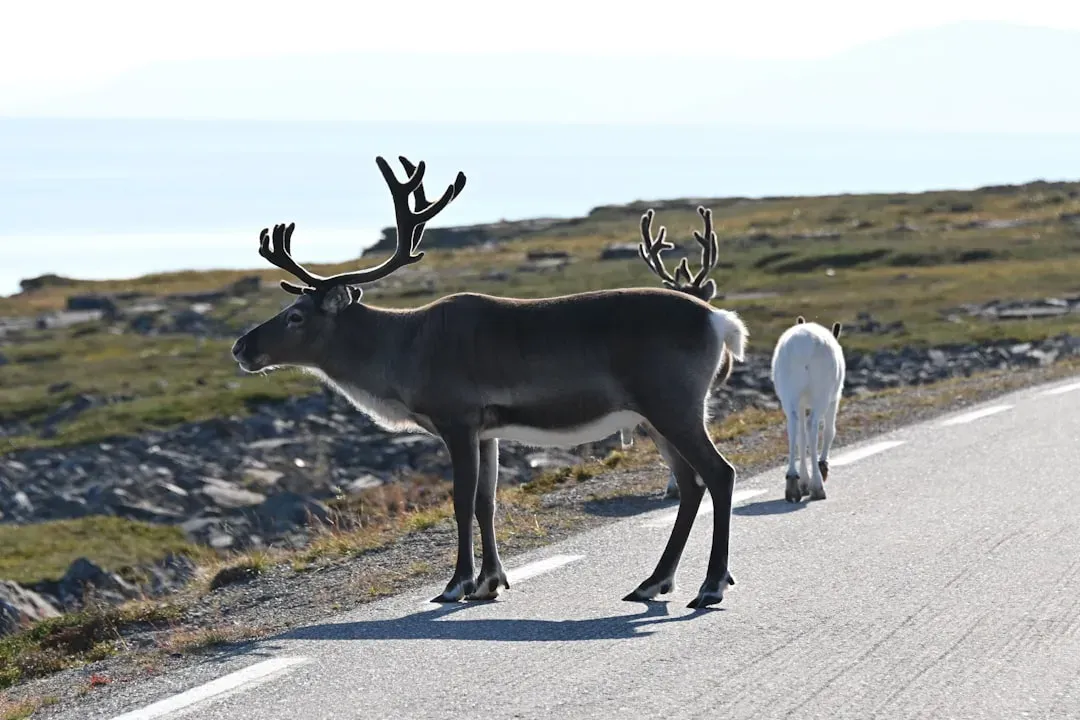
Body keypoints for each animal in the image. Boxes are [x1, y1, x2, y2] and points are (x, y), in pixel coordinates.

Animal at [231, 155, 749, 609]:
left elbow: (460, 502)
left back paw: (710, 586)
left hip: (673, 405)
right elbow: (486, 502)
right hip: (655, 417)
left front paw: (456, 584)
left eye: (296, 316)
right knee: (690, 484)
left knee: (719, 473)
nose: (241, 347)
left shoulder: (456, 419)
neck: (402, 352)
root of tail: (721, 321)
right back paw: (653, 582)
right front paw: (490, 581)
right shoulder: (487, 430)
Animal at [770, 315, 846, 503]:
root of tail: (802, 347)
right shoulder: (835, 397)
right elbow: (829, 431)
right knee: (813, 426)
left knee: (793, 427)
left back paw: (792, 483)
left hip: (789, 394)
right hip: (821, 395)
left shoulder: (802, 404)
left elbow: (801, 437)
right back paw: (817, 485)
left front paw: (803, 482)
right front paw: (821, 467)